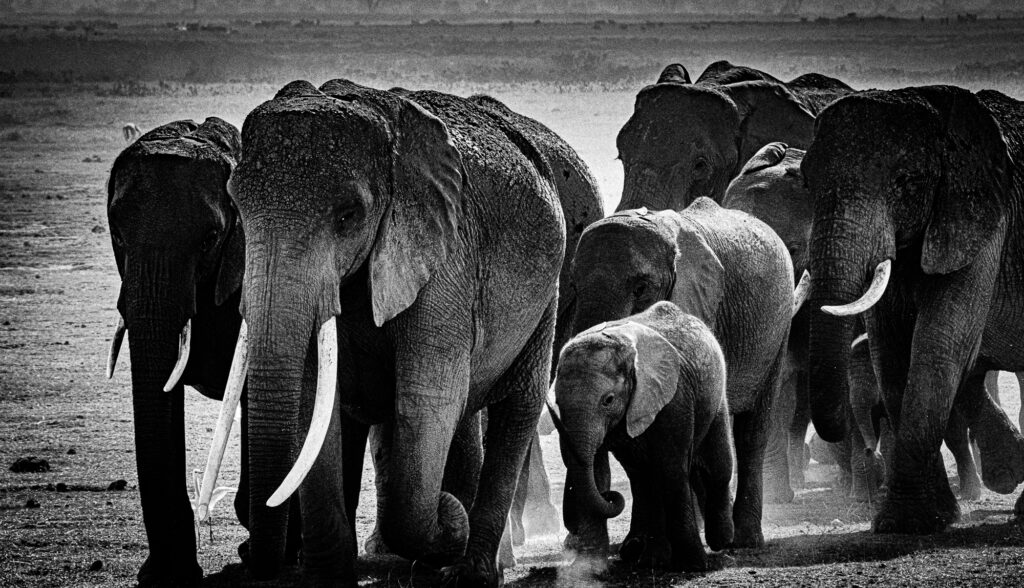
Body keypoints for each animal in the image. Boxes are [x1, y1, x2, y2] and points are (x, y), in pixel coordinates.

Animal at [207, 78, 569, 586]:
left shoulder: (446, 256)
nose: (250, 562)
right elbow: (315, 402)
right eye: (237, 208)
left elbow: (428, 397)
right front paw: (330, 576)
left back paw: (473, 570)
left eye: (348, 216)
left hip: (546, 294)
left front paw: (446, 518)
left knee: (516, 407)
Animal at [553, 301, 734, 571]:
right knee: (642, 476)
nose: (610, 495)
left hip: (716, 394)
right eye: (557, 403)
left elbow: (671, 468)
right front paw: (594, 567)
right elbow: (601, 468)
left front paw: (692, 566)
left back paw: (721, 542)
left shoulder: (674, 398)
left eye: (608, 400)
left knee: (717, 466)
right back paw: (642, 554)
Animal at [565, 198, 793, 551]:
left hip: (778, 334)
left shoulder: (706, 307)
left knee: (752, 432)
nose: (573, 539)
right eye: (573, 286)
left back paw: (744, 540)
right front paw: (639, 548)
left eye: (641, 287)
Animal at [801, 85, 1024, 534]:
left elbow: (940, 342)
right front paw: (915, 520)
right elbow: (890, 352)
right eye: (805, 180)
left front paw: (909, 521)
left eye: (907, 182)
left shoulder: (980, 220)